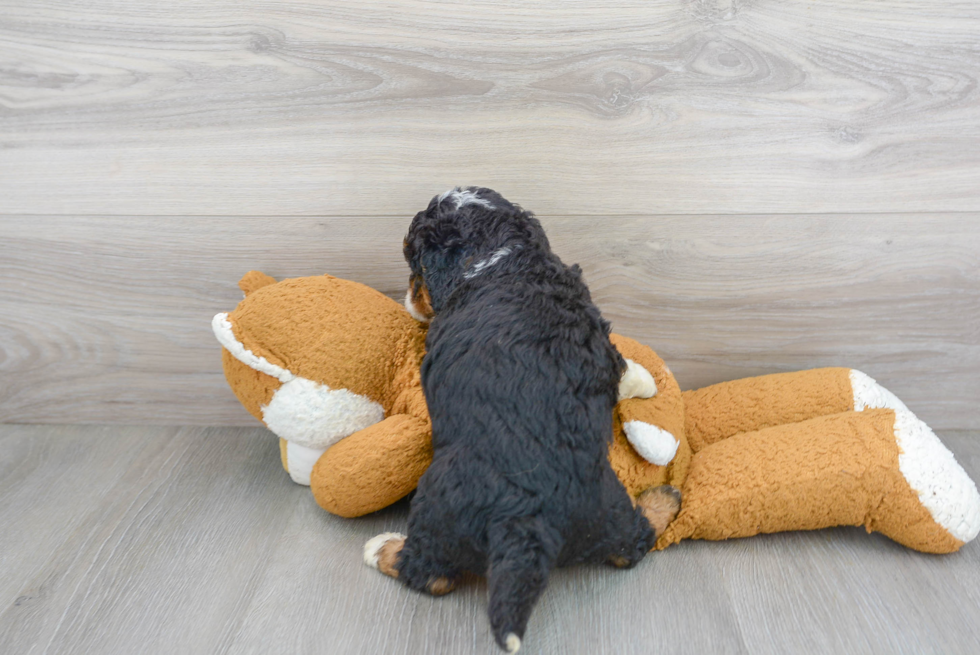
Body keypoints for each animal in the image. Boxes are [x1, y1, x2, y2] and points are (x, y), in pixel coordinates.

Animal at [364, 187, 676, 652]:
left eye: (413, 263)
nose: (408, 297)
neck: (500, 255)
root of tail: (527, 521)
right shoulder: (597, 339)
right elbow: (621, 367)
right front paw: (645, 382)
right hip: (604, 505)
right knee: (631, 542)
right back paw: (664, 500)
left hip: (438, 508)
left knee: (431, 575)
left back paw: (382, 548)